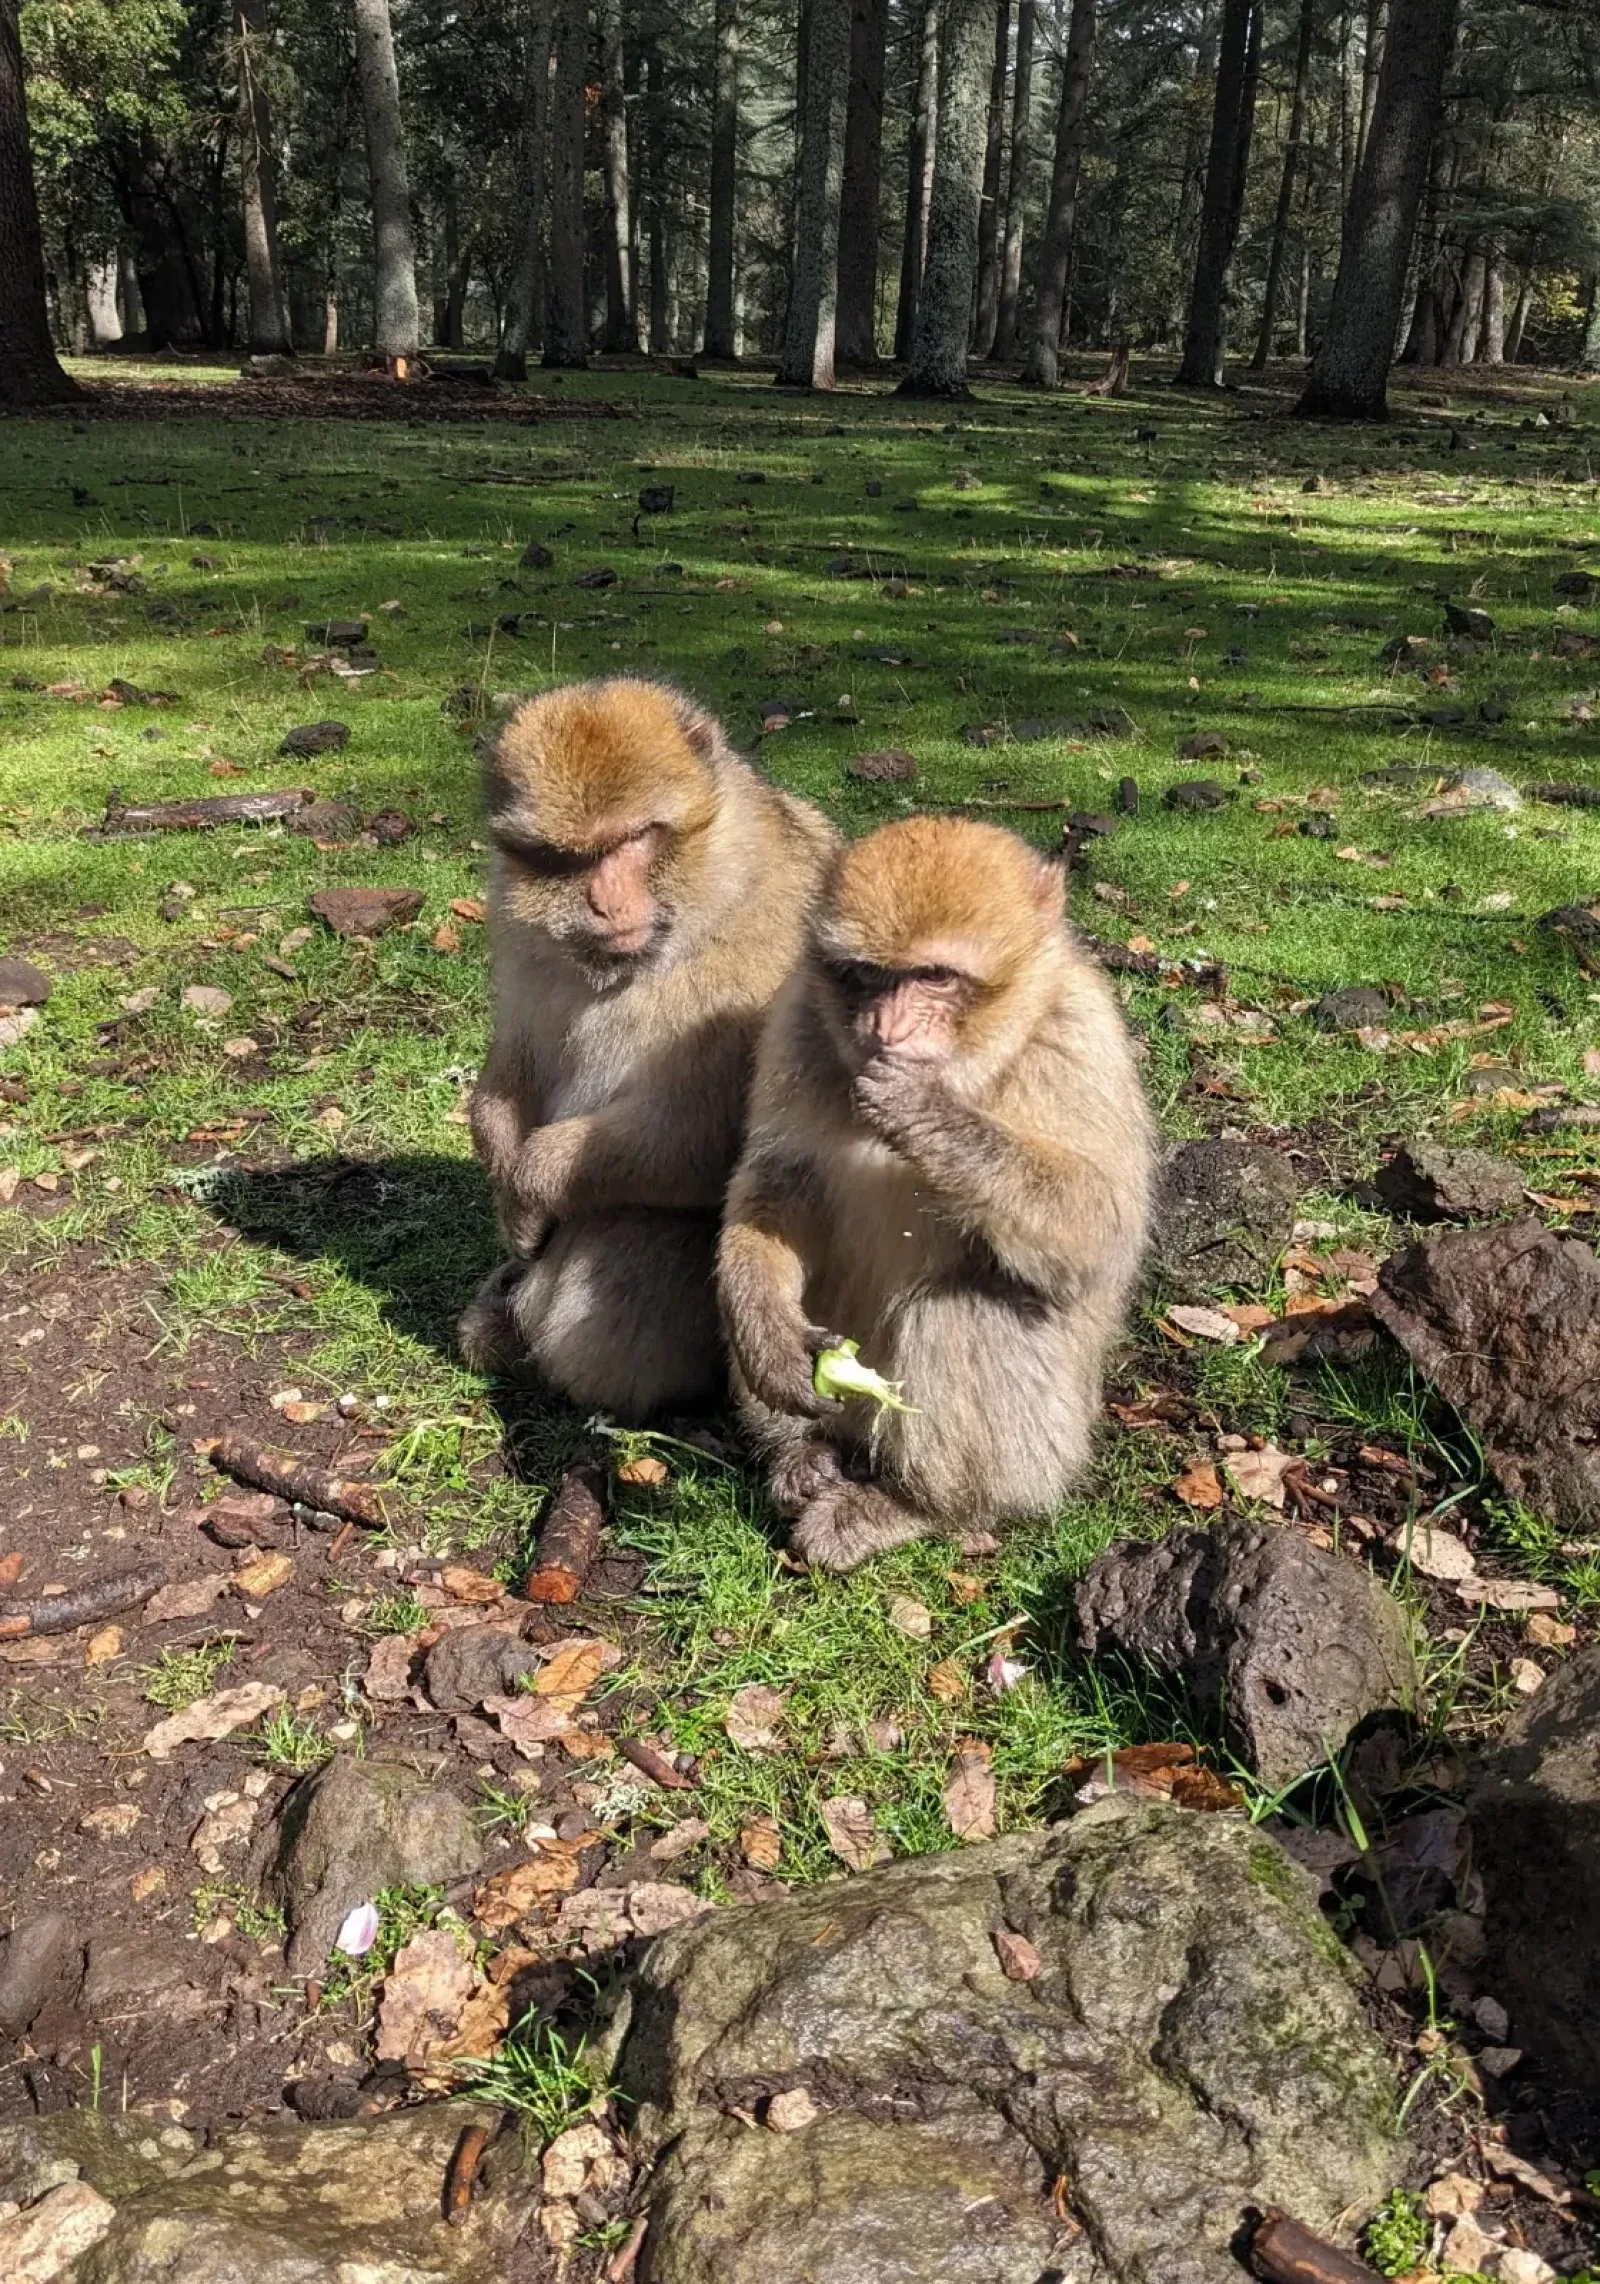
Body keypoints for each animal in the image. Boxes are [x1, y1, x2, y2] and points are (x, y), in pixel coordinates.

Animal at [458, 676, 837, 1421]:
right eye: (569, 857)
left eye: (635, 838)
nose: (605, 903)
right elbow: (513, 1063)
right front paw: (501, 1168)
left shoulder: (765, 954)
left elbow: (707, 1140)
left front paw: (530, 1182)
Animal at [717, 814, 1155, 1571]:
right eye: (868, 977)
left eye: (936, 977)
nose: (887, 1030)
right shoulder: (797, 1022)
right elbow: (778, 1185)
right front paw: (763, 1327)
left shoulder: (1079, 1041)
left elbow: (1100, 1231)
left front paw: (928, 1116)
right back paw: (801, 1453)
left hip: (1051, 1446)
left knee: (964, 1312)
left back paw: (917, 1506)